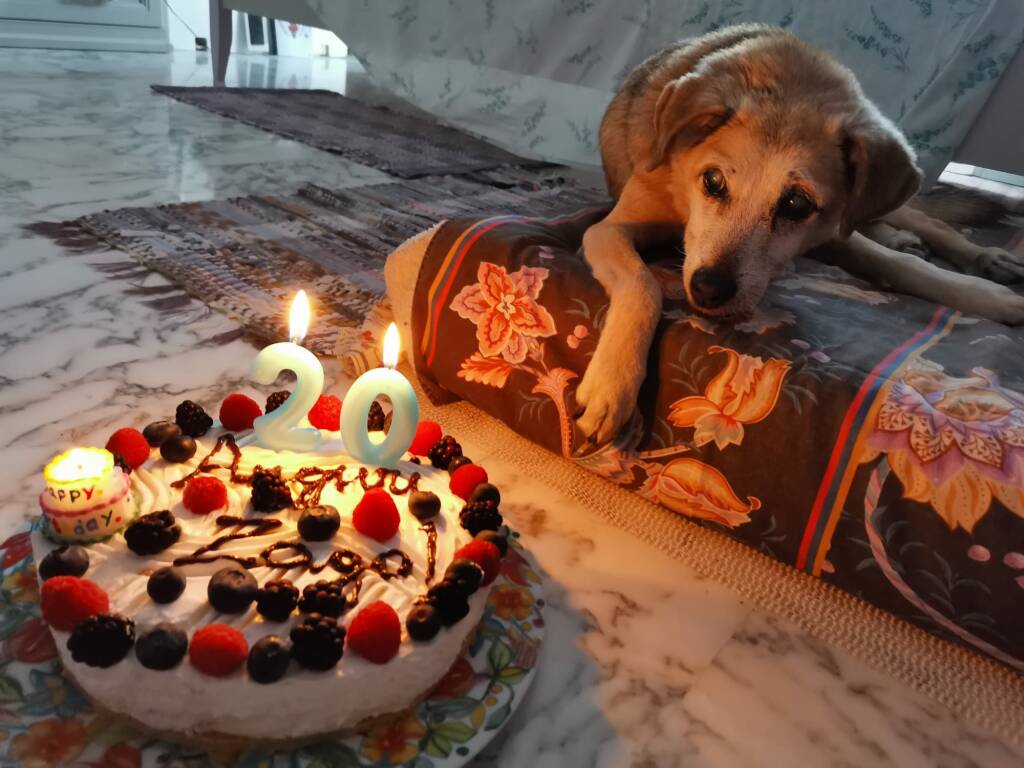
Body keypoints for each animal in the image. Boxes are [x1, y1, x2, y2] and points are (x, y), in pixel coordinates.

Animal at [573, 22, 1024, 444]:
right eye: (713, 181)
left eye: (796, 204)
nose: (708, 290)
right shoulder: (607, 229)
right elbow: (642, 284)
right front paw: (613, 383)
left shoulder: (834, 229)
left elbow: (902, 266)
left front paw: (989, 297)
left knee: (927, 221)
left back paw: (982, 257)